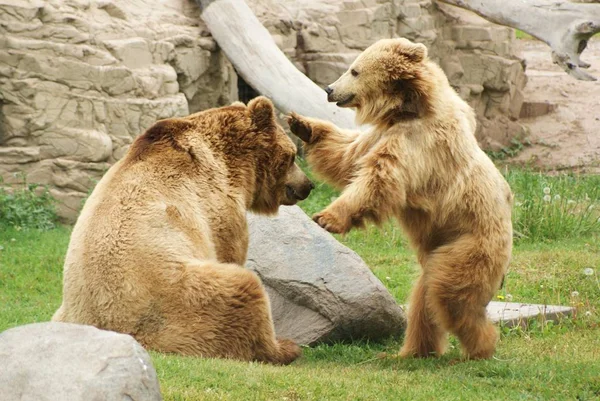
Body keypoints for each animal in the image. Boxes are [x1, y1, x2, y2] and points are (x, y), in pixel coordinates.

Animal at [52, 96, 314, 362]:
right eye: (293, 156)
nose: (308, 185)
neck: (235, 163)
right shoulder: (216, 204)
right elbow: (229, 250)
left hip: (67, 311)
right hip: (180, 298)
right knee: (244, 289)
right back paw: (283, 347)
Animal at [288, 38, 512, 360]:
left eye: (354, 70)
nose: (329, 89)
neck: (409, 107)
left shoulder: (418, 144)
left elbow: (378, 180)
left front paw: (326, 218)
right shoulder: (382, 132)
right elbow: (348, 156)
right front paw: (302, 125)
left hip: (470, 242)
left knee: (451, 295)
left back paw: (482, 345)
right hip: (439, 251)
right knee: (424, 297)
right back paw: (414, 351)